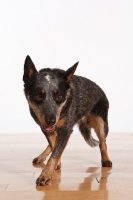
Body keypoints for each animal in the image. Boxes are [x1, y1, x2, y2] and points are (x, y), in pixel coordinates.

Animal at [22, 55, 112, 186]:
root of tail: (100, 89)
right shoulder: (45, 127)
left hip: (101, 123)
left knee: (102, 142)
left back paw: (106, 160)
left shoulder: (65, 129)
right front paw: (55, 165)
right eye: (38, 96)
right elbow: (54, 146)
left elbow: (56, 152)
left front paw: (45, 175)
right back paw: (41, 157)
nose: (51, 121)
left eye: (59, 96)